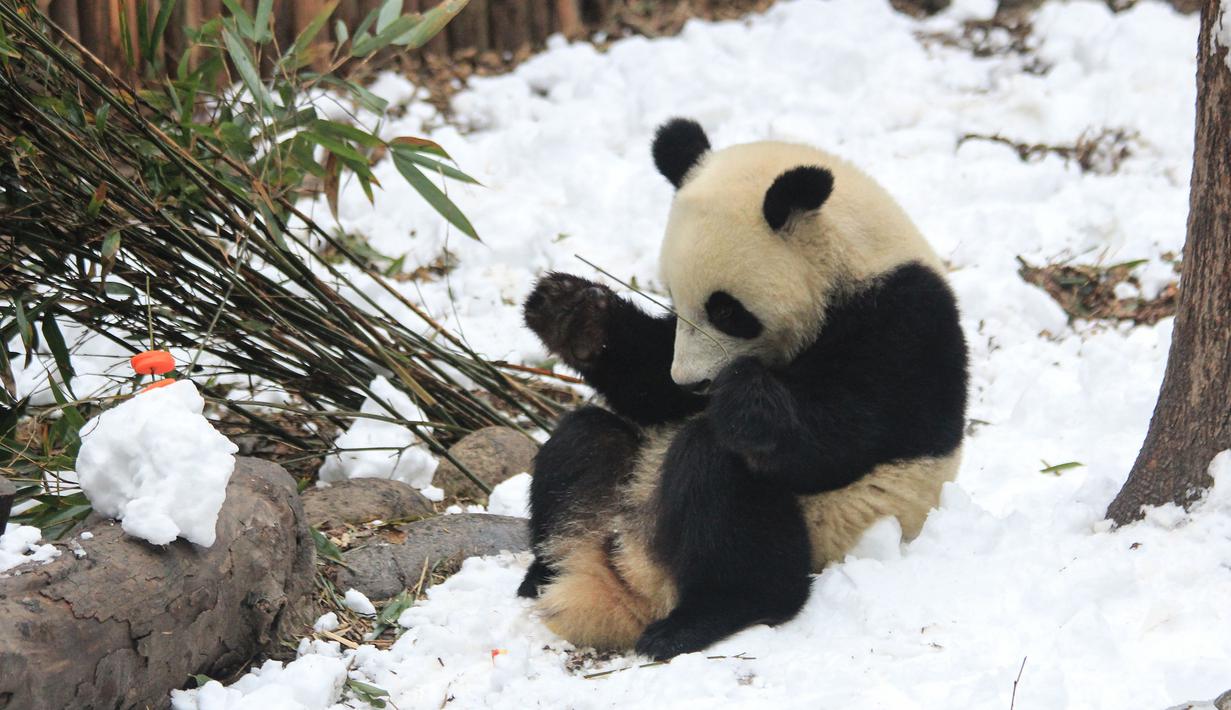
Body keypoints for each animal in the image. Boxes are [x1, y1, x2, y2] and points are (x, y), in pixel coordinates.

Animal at [516, 118, 968, 661]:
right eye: (674, 299)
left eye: (728, 310)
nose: (695, 383)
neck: (852, 258)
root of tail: (637, 580)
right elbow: (651, 386)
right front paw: (574, 314)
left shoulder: (905, 323)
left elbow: (844, 435)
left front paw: (747, 401)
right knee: (584, 441)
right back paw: (542, 572)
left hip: (820, 529)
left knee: (723, 485)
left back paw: (704, 616)